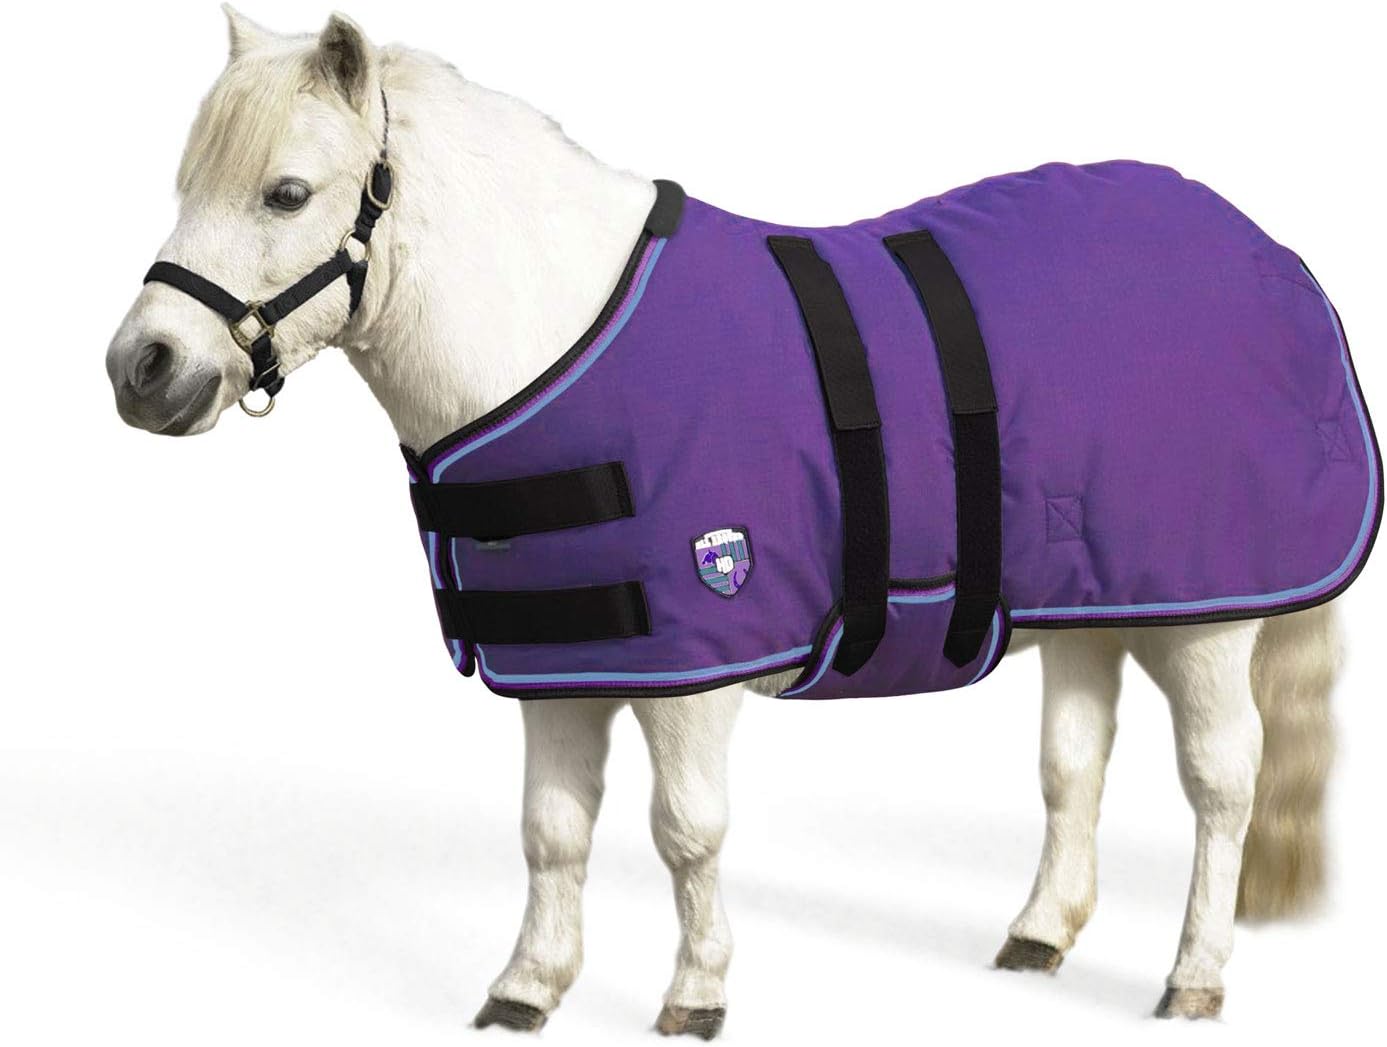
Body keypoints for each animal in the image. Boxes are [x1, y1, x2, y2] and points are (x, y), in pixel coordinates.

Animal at [105, 8, 1345, 1035]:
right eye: (186, 184)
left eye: (286, 193)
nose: (141, 368)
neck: (555, 335)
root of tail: (1261, 249)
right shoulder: (566, 660)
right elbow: (551, 832)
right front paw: (526, 989)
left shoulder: (693, 668)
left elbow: (686, 832)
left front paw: (695, 994)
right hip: (1093, 596)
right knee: (1072, 763)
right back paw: (1039, 934)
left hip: (1207, 616)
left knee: (1221, 783)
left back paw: (1193, 977)